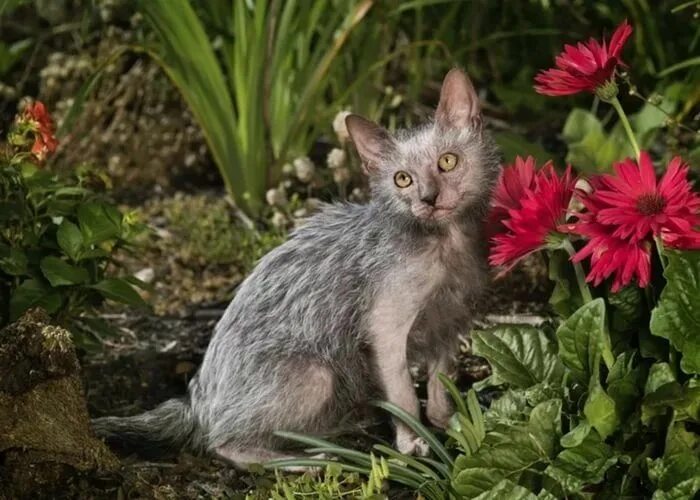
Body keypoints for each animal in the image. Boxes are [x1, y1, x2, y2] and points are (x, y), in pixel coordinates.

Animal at [93, 68, 500, 466]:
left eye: (448, 161)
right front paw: (414, 443)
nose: (428, 198)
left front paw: (454, 426)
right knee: (224, 442)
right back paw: (311, 459)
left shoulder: (451, 323)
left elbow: (442, 384)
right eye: (403, 179)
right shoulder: (385, 329)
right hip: (316, 374)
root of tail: (195, 401)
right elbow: (404, 398)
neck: (446, 244)